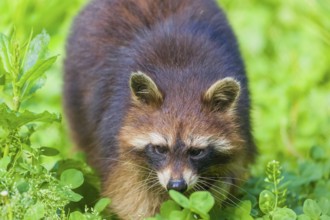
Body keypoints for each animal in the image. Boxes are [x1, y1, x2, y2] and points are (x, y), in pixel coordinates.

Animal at [63, 0, 255, 219]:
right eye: (160, 148)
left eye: (196, 151)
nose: (176, 185)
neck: (181, 82)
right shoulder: (115, 136)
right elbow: (130, 195)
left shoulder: (241, 125)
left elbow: (229, 176)